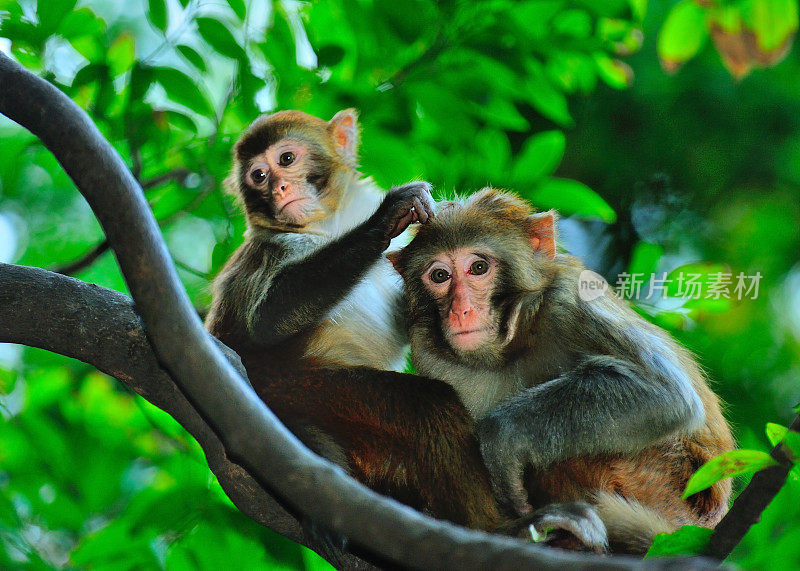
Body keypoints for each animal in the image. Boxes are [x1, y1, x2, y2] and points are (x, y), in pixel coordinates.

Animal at [390, 189, 736, 556]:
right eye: (439, 276)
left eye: (478, 268)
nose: (461, 310)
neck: (516, 340)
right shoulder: (428, 350)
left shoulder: (570, 299)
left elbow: (665, 393)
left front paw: (501, 437)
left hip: (656, 477)